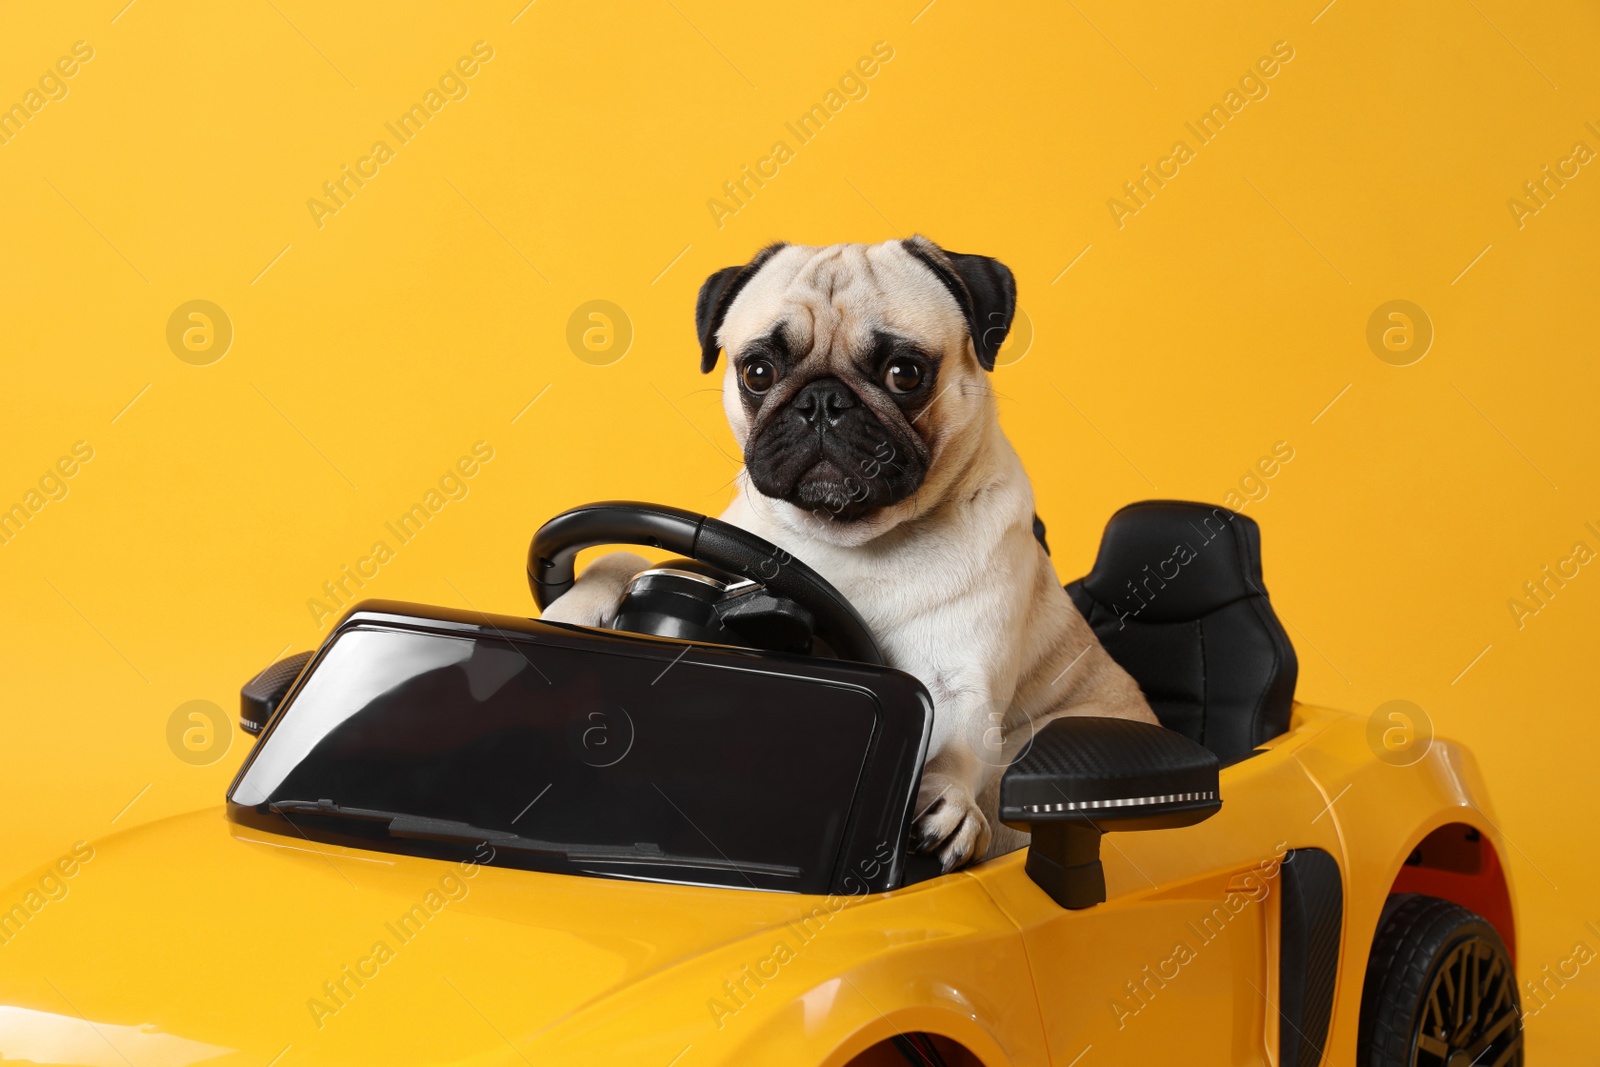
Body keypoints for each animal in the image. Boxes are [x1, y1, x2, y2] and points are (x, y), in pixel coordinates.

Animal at [544, 238, 1158, 870]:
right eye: (757, 372)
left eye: (905, 373)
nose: (821, 400)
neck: (848, 541)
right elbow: (625, 560)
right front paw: (578, 603)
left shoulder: (962, 681)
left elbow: (956, 745)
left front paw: (946, 802)